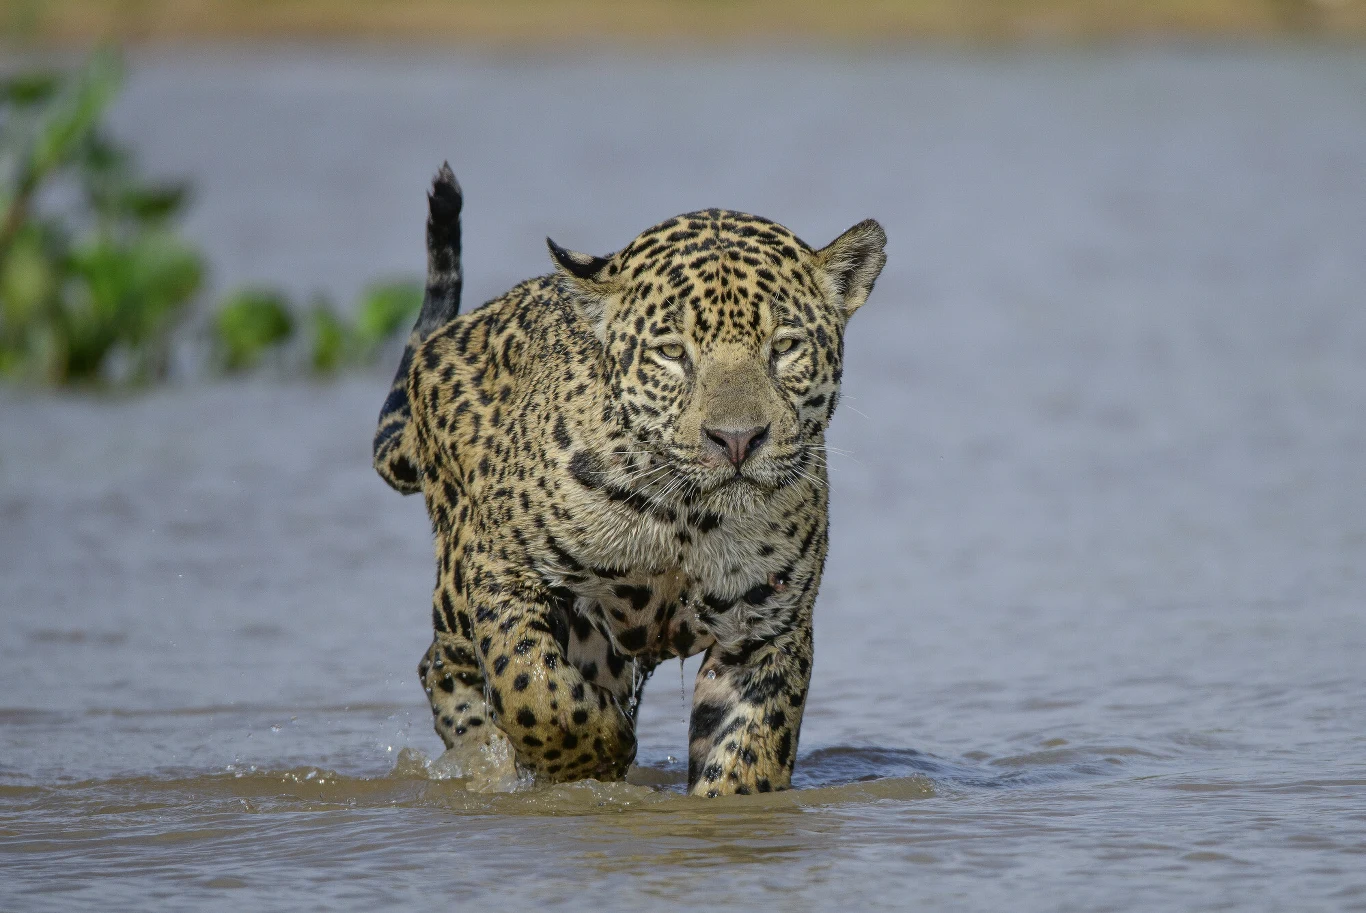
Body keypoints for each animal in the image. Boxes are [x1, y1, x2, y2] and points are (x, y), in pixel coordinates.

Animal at [373, 163, 885, 797]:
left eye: (785, 346)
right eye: (671, 353)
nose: (737, 439)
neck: (687, 516)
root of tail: (444, 342)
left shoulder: (766, 628)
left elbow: (747, 754)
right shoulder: (502, 569)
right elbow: (531, 686)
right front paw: (594, 755)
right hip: (458, 582)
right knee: (442, 665)